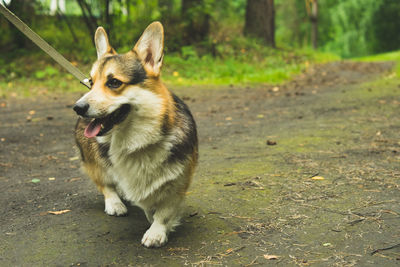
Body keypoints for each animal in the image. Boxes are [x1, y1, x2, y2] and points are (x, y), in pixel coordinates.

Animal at [72, 22, 198, 248]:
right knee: (105, 183)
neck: (138, 140)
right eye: (91, 82)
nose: (77, 108)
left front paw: (157, 230)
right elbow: (147, 204)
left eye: (114, 82)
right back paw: (115, 203)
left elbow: (164, 211)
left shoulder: (179, 181)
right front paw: (153, 222)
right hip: (95, 159)